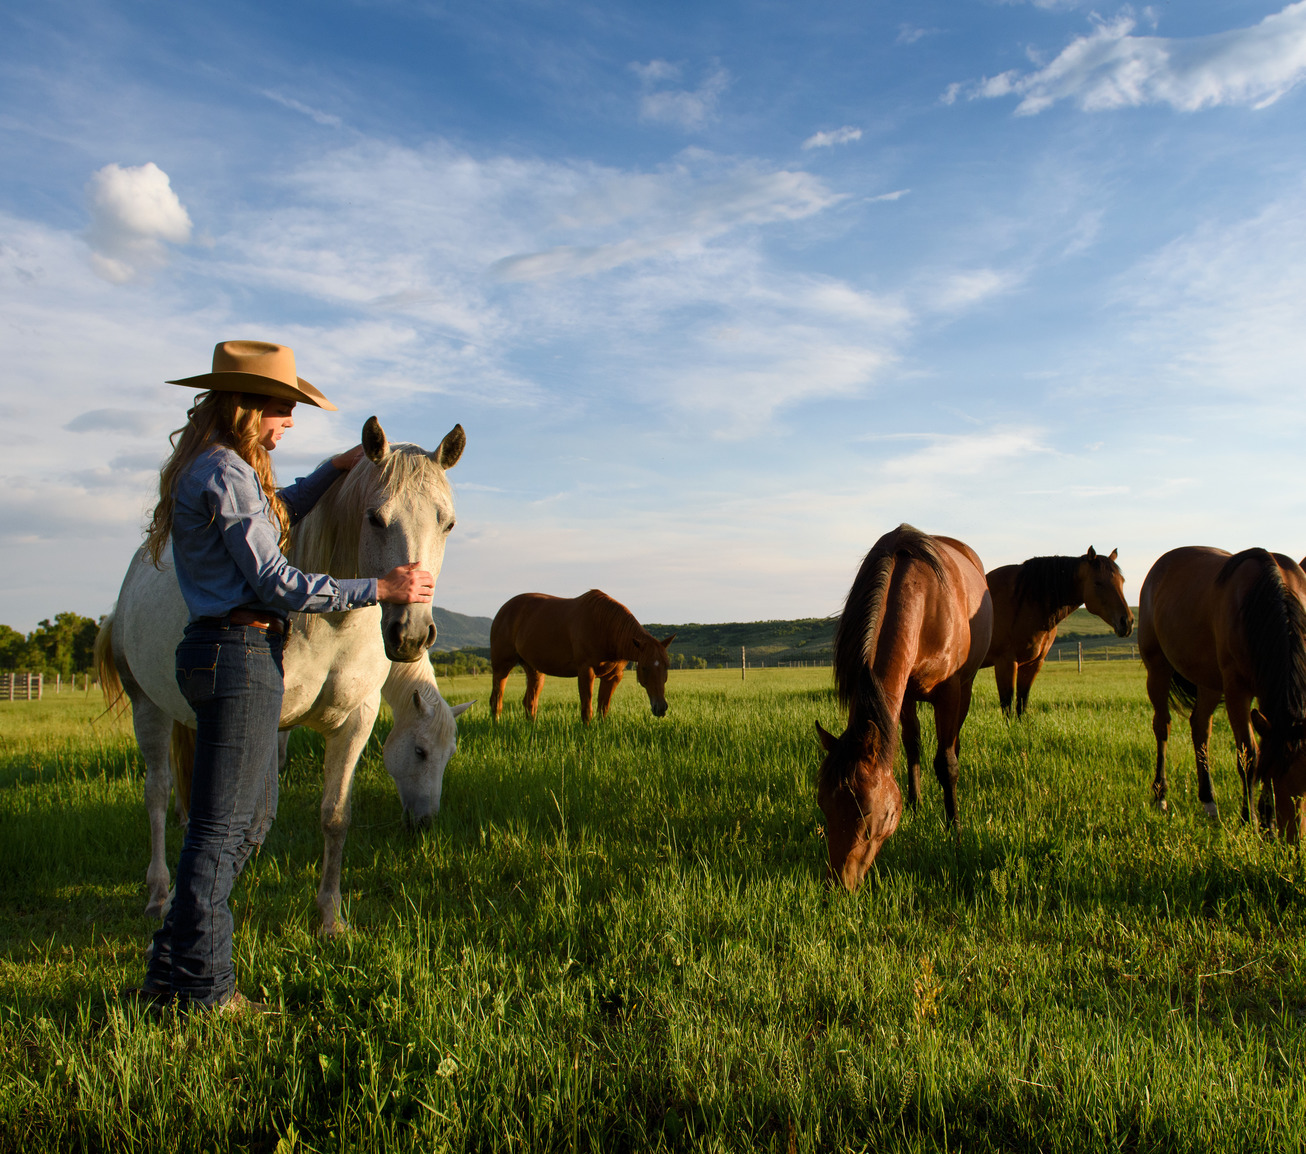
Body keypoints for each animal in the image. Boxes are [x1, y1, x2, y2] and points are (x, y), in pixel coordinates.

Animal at [97, 420, 464, 934]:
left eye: (446, 523)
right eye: (375, 518)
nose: (411, 633)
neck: (328, 623)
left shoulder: (356, 721)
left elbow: (334, 815)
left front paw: (329, 917)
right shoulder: (266, 724)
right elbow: (249, 817)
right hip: (146, 707)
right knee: (156, 794)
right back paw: (157, 894)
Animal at [488, 590, 679, 725]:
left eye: (666, 666)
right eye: (644, 667)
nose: (661, 708)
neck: (605, 628)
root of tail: (503, 609)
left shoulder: (613, 676)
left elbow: (604, 707)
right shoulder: (586, 671)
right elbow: (587, 708)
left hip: (534, 669)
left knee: (530, 702)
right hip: (501, 666)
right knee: (496, 699)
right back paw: (496, 725)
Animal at [814, 524, 987, 892]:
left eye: (868, 814)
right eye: (823, 805)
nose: (838, 885)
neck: (923, 595)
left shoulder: (950, 690)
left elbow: (946, 763)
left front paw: (954, 831)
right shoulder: (902, 694)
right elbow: (910, 747)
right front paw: (915, 805)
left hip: (966, 687)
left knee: (955, 741)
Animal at [987, 548, 1133, 710]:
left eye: (1122, 581)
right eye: (1098, 583)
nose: (1127, 621)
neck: (1023, 600)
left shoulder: (1033, 664)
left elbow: (1022, 704)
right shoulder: (1005, 663)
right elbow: (1007, 705)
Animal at [1138, 543, 1306, 840]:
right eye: (1276, 775)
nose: (1294, 839)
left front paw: (1268, 824)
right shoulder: (1237, 689)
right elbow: (1249, 756)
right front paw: (1250, 820)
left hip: (1209, 682)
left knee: (1200, 728)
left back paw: (1209, 802)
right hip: (1158, 668)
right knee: (1162, 727)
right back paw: (1160, 796)